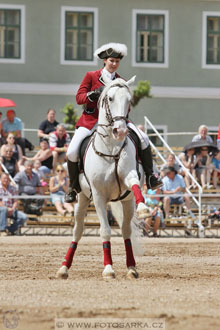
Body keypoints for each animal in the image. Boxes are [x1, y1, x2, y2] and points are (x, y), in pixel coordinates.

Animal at [56, 76, 151, 280]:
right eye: (110, 99)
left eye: (129, 100)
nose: (120, 131)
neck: (112, 148)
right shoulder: (99, 196)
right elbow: (105, 232)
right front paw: (108, 269)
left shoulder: (130, 178)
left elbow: (134, 184)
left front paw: (144, 209)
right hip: (83, 199)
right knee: (77, 231)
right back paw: (64, 268)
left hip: (126, 202)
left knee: (125, 231)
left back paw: (131, 267)